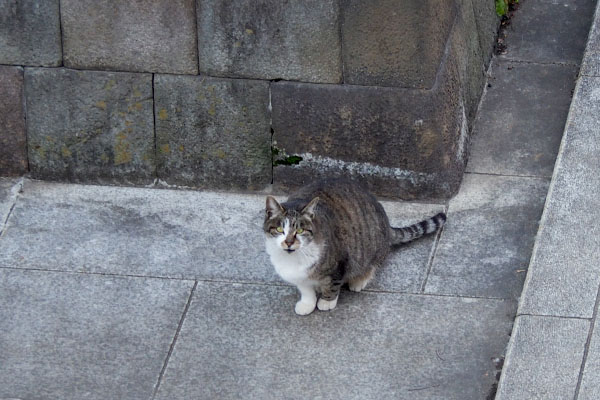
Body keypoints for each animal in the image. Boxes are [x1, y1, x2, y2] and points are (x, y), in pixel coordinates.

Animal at [262, 179, 446, 316]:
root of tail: (387, 225)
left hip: (372, 246)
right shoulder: (299, 276)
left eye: (300, 230)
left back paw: (359, 280)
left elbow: (332, 284)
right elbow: (305, 289)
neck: (292, 259)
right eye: (279, 229)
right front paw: (307, 303)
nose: (289, 242)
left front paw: (326, 301)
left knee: (374, 263)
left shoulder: (340, 262)